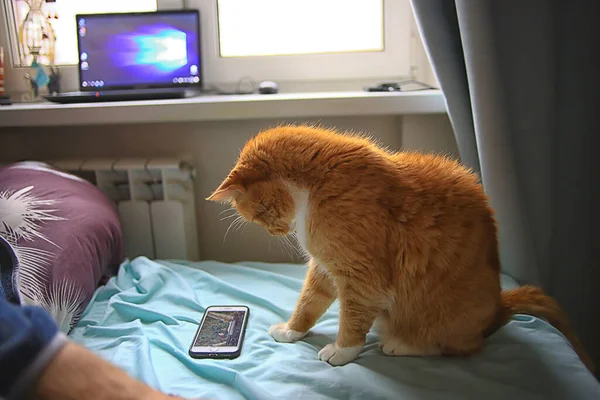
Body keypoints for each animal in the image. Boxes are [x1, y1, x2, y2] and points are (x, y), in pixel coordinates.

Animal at [209, 125, 592, 372]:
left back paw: (403, 344)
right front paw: (292, 330)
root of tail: (500, 306)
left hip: (445, 319)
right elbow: (308, 303)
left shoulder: (360, 278)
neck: (316, 187)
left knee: (462, 347)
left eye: (260, 213)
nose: (277, 231)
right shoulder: (325, 267)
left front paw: (342, 351)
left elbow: (351, 320)